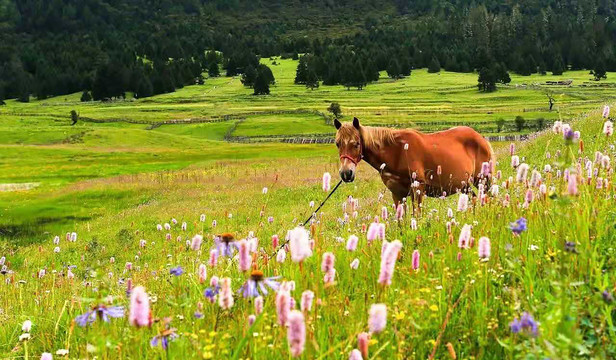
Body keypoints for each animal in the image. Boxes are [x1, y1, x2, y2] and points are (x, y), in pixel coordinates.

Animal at [334, 116, 494, 210]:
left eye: (356, 144)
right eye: (337, 143)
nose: (346, 173)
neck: (398, 152)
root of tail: (481, 138)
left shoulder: (418, 188)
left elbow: (416, 215)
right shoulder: (397, 193)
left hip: (483, 179)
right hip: (465, 185)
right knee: (475, 199)